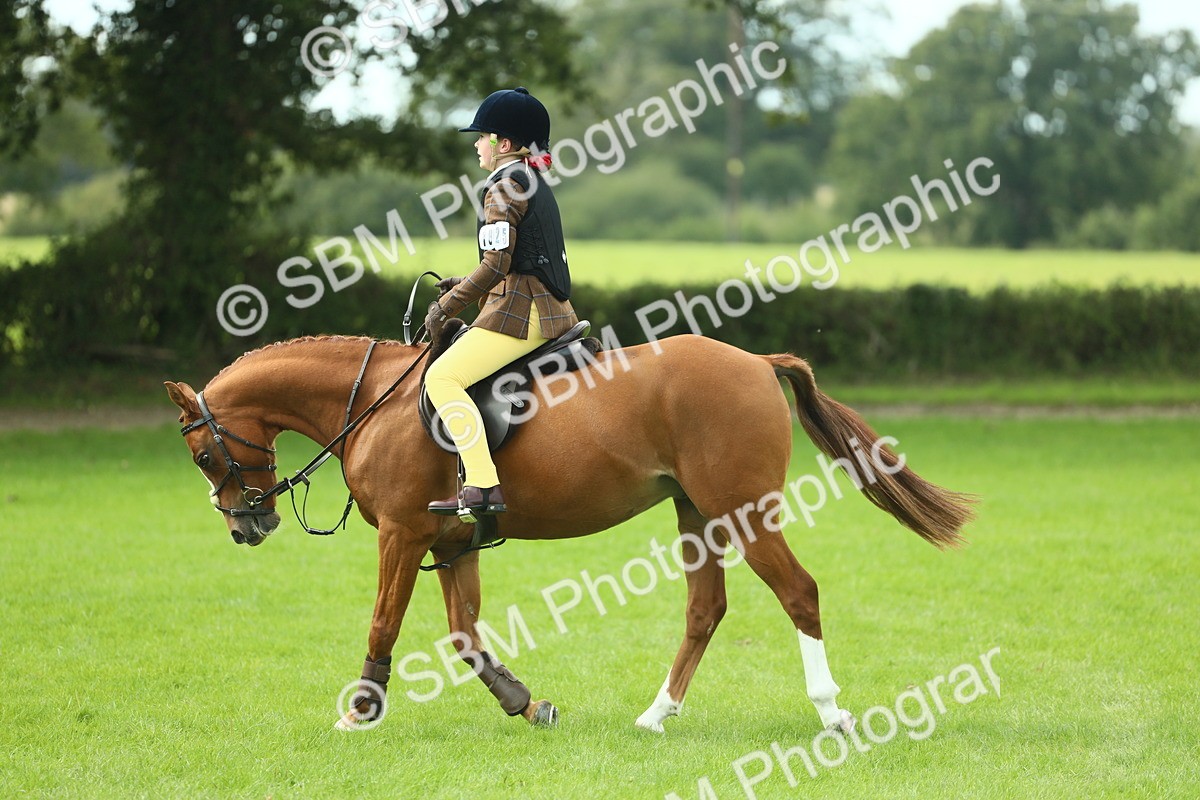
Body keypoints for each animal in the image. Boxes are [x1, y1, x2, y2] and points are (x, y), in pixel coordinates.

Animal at [164, 332, 975, 733]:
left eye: (203, 454)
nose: (249, 524)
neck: (373, 401)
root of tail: (755, 361)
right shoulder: (450, 543)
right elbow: (465, 635)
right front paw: (526, 703)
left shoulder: (401, 534)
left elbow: (384, 622)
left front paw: (361, 710)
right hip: (698, 513)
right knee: (706, 608)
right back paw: (657, 714)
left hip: (743, 508)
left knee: (799, 592)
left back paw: (831, 711)